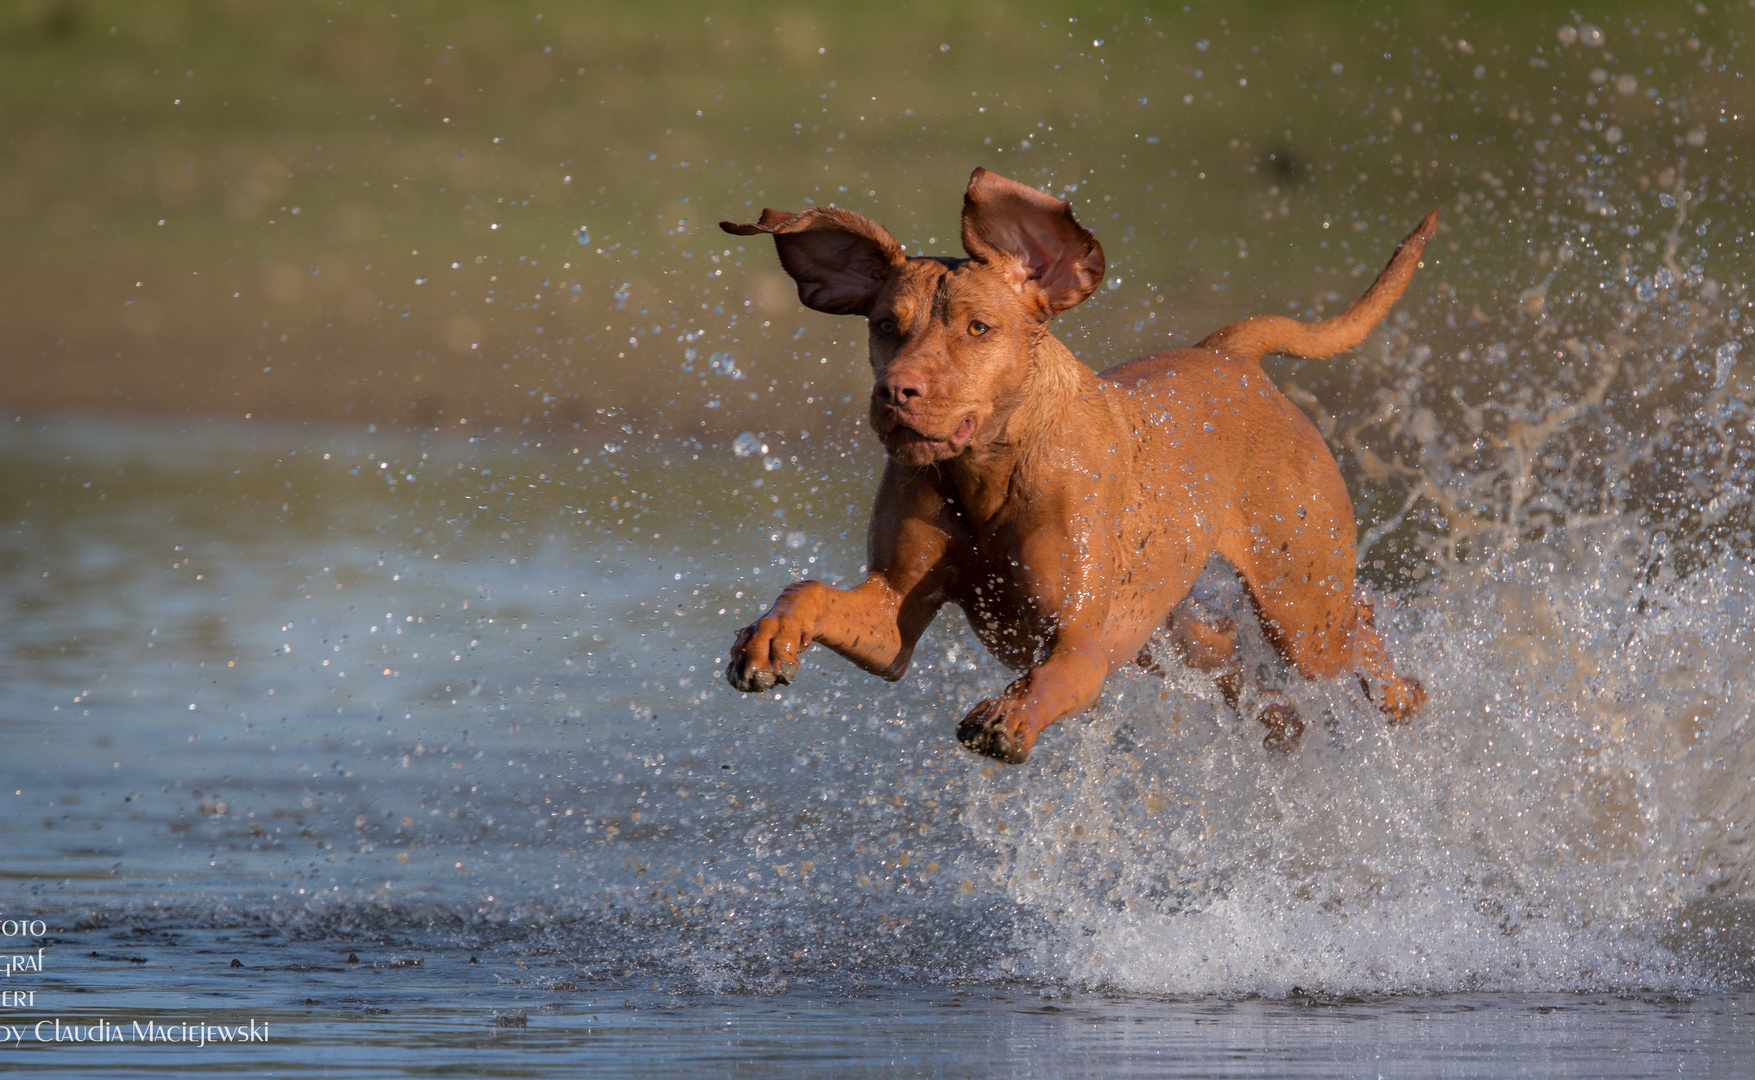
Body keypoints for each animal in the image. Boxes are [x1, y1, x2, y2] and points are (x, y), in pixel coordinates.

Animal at [719, 168, 1432, 762]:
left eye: (978, 328)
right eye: (885, 325)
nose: (895, 391)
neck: (986, 473)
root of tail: (1229, 355)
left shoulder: (1082, 644)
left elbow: (1050, 675)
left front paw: (1009, 716)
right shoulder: (891, 616)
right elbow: (808, 590)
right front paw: (771, 636)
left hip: (1301, 606)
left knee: (1359, 633)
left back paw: (1404, 700)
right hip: (1174, 630)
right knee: (1236, 655)